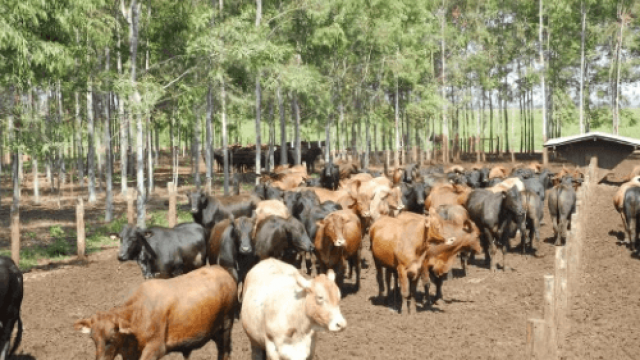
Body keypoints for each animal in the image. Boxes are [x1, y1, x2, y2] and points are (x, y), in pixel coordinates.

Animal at [75, 264, 235, 360]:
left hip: (226, 326)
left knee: (224, 352)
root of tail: (221, 269)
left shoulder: (155, 348)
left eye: (111, 338)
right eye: (93, 339)